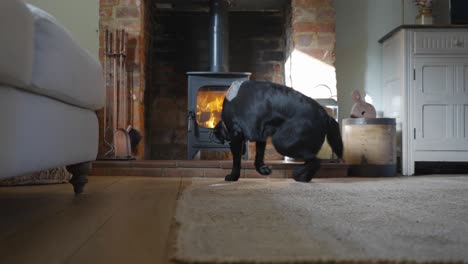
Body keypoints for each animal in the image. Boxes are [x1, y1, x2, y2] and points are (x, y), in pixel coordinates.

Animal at [214, 80, 342, 183]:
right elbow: (259, 155)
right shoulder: (261, 136)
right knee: (312, 161)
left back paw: (299, 174)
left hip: (282, 143)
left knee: (316, 161)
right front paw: (263, 170)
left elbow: (236, 160)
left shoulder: (235, 135)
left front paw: (233, 177)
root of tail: (325, 115)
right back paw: (303, 177)